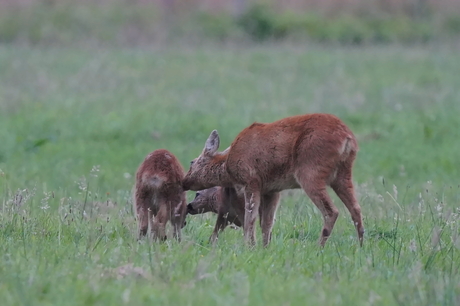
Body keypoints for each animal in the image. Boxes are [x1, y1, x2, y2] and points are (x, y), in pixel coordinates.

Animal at [181, 113, 364, 247]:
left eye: (191, 162)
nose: (184, 182)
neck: (228, 165)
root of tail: (348, 139)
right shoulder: (272, 190)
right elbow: (267, 222)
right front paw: (265, 248)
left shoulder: (251, 181)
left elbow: (250, 218)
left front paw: (249, 246)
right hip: (343, 175)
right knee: (356, 209)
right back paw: (361, 246)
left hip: (310, 172)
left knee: (332, 211)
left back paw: (319, 247)